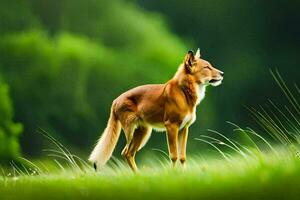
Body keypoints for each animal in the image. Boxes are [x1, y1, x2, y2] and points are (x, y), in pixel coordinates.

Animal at [88, 49, 223, 171]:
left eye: (210, 65)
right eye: (206, 67)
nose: (222, 73)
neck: (184, 92)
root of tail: (115, 101)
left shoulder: (184, 128)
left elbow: (182, 157)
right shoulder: (171, 127)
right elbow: (174, 156)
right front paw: (173, 175)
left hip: (143, 131)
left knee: (129, 154)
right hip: (131, 131)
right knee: (125, 152)